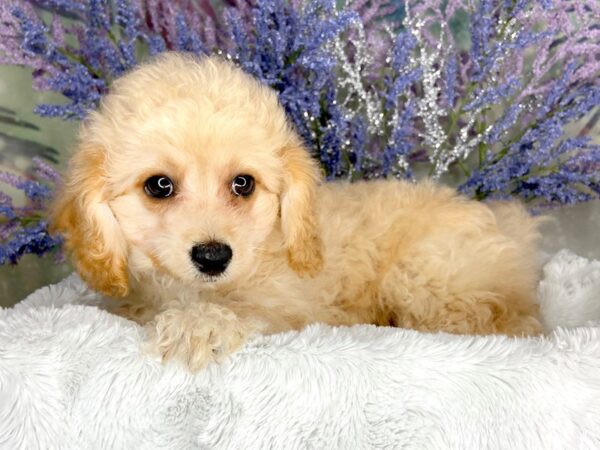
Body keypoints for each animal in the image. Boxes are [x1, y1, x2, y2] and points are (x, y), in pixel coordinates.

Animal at [51, 52, 544, 370]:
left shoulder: (288, 305)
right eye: (159, 185)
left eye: (243, 183)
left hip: (429, 276)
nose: (214, 257)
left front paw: (199, 326)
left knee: (498, 321)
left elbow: (248, 310)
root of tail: (511, 226)